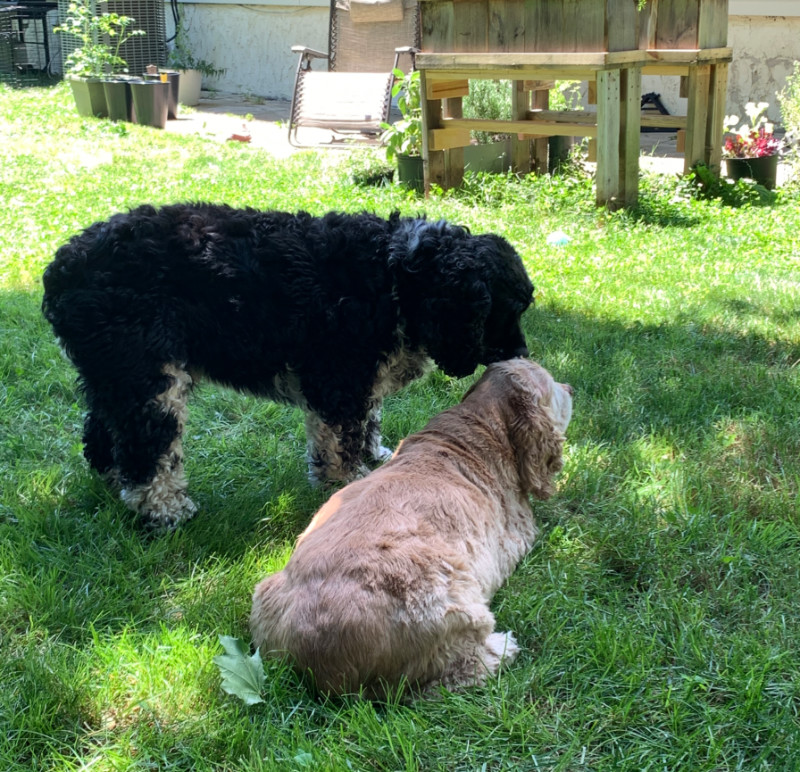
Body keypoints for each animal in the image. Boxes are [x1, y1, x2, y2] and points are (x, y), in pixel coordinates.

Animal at [40, 204, 536, 532]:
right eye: (506, 310)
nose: (522, 354)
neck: (397, 274)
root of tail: (63, 266)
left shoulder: (363, 379)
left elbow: (367, 422)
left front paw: (377, 456)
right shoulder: (338, 379)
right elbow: (340, 443)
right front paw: (349, 483)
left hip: (116, 374)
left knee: (102, 439)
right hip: (150, 379)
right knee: (148, 453)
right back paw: (164, 509)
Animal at [248, 358, 568, 696]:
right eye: (554, 388)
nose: (571, 388)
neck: (481, 420)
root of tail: (309, 658)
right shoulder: (521, 529)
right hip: (451, 603)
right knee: (460, 671)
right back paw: (503, 648)